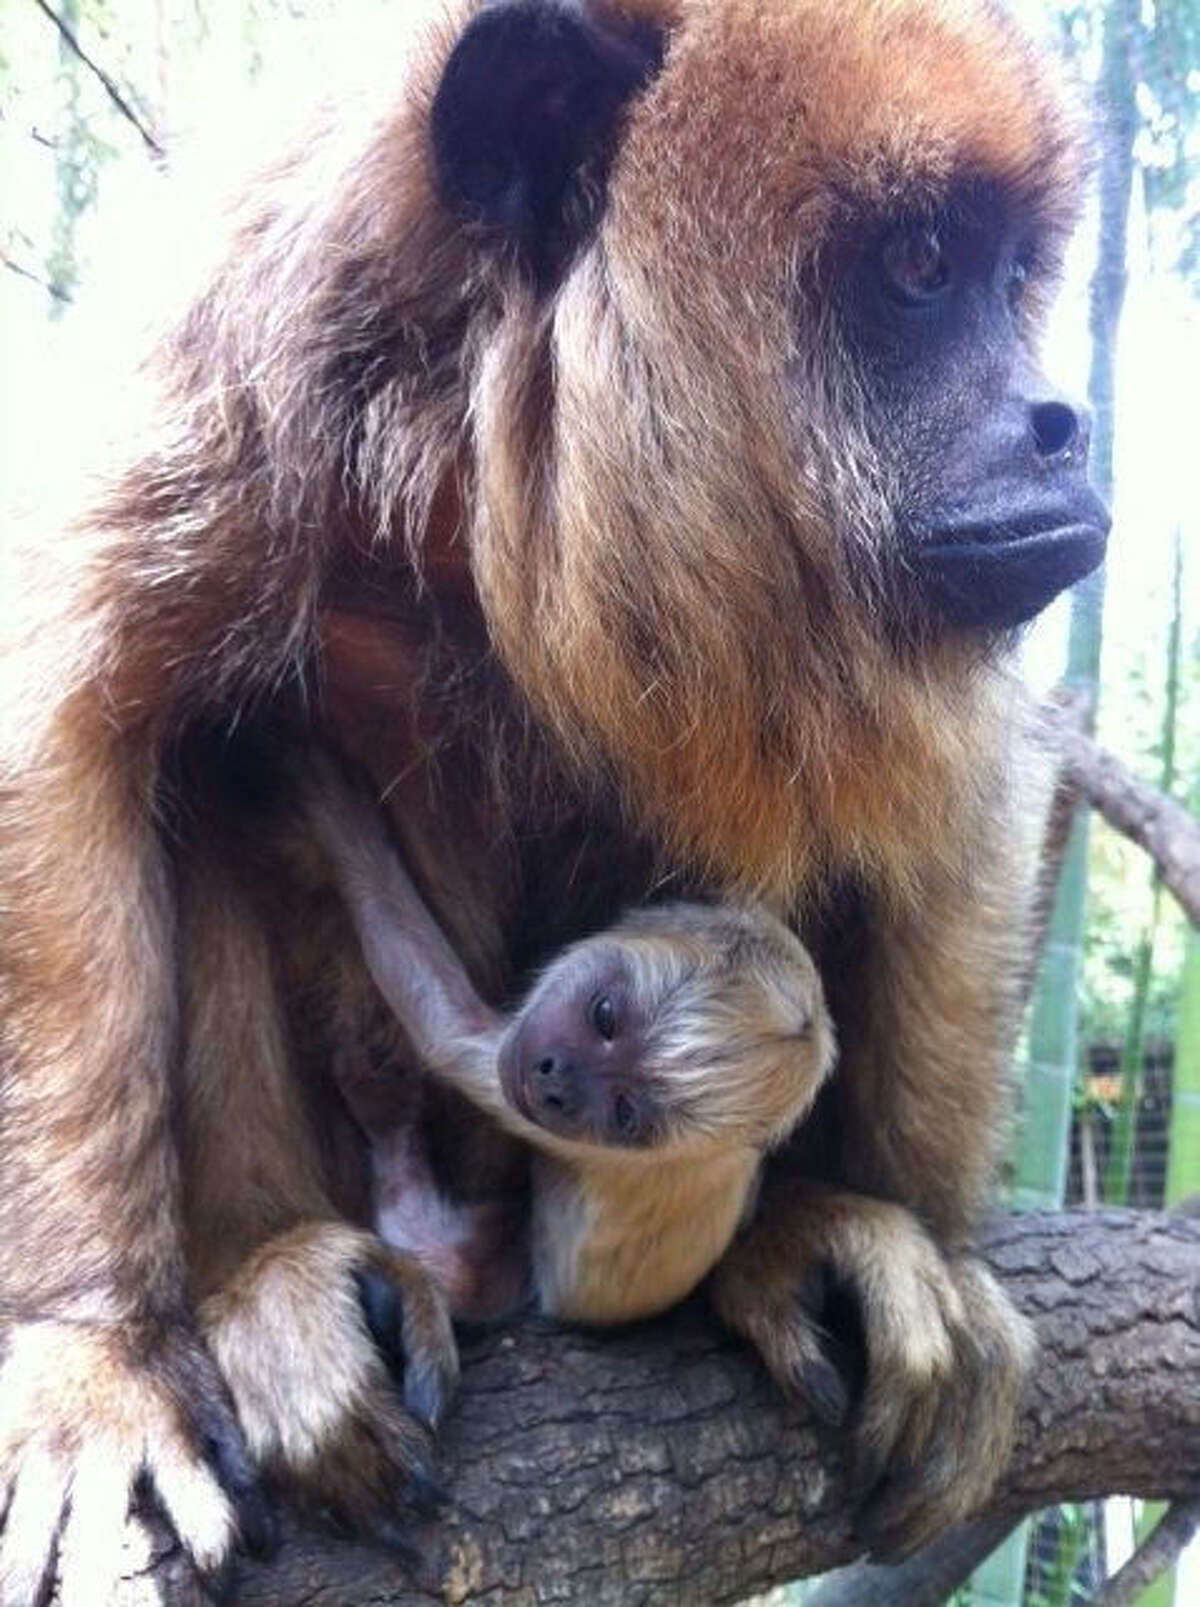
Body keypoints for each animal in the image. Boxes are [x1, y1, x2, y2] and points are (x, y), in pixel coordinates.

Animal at [306, 758, 835, 1326]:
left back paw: (389, 1123)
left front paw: (333, 803)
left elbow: (444, 1028)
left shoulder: (530, 1106)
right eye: (605, 1016)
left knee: (452, 1268)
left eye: (624, 1113)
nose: (554, 1082)